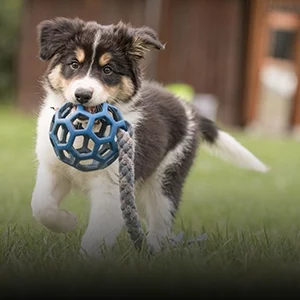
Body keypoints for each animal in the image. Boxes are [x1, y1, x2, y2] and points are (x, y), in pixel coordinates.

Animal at [31, 17, 270, 258]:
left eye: (108, 70)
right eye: (73, 64)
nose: (82, 95)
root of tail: (190, 110)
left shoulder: (111, 187)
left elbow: (96, 236)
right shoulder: (53, 169)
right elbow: (41, 206)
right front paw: (67, 221)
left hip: (166, 178)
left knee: (160, 225)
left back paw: (155, 251)